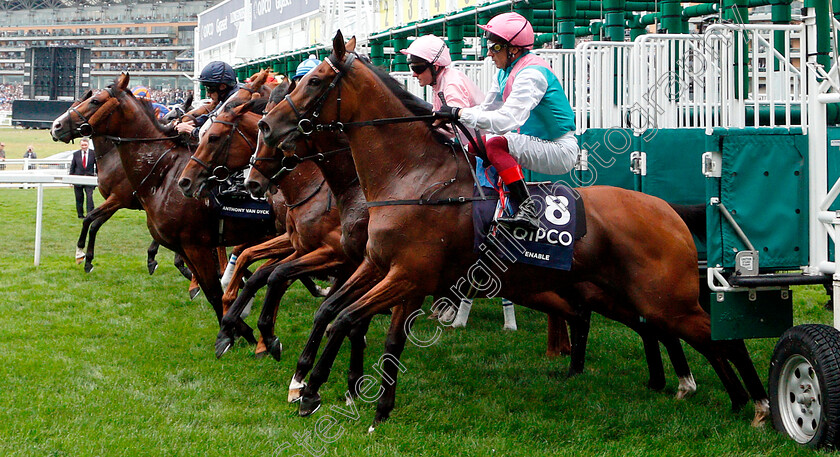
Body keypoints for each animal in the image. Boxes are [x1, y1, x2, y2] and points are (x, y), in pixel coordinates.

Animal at [51, 74, 282, 346]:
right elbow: (94, 220)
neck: (163, 172)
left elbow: (91, 219)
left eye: (95, 101)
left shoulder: (126, 202)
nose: (56, 126)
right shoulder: (176, 237)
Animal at [260, 32, 772, 428]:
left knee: (719, 336)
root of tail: (665, 209)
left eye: (315, 81)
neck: (414, 177)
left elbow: (348, 319)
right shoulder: (379, 266)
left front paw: (317, 391)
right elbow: (335, 313)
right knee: (686, 334)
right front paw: (325, 387)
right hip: (627, 295)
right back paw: (722, 395)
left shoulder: (408, 276)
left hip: (665, 297)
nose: (267, 127)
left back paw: (761, 405)